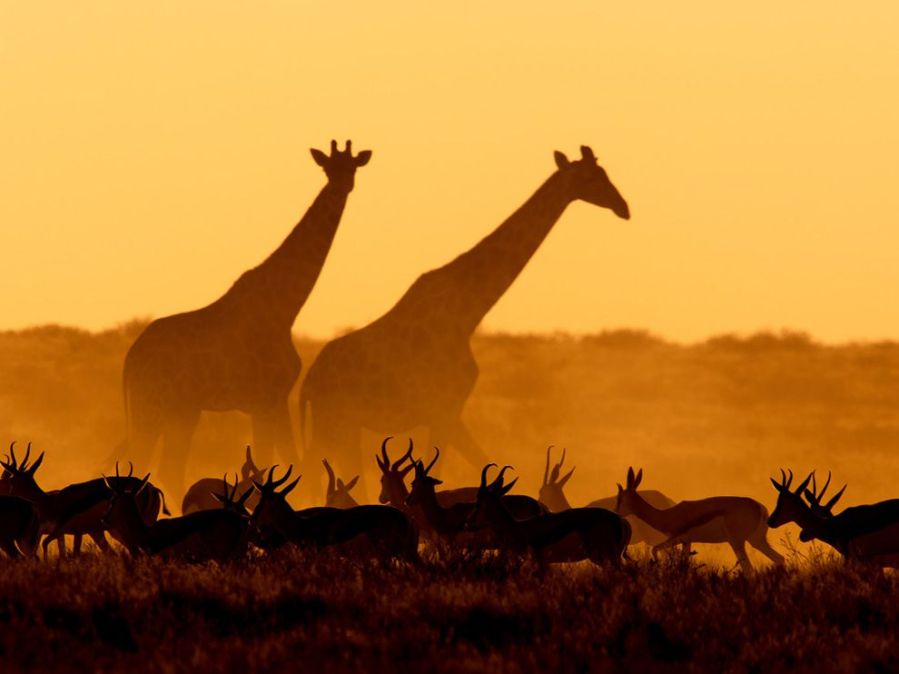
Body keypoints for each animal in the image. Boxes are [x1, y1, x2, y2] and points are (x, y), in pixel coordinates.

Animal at [120, 140, 370, 498]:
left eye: (351, 166)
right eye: (328, 167)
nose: (343, 185)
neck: (285, 309)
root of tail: (130, 359)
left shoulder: (277, 399)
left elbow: (294, 464)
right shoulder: (264, 400)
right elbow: (269, 465)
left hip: (181, 410)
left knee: (168, 467)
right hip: (152, 406)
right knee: (146, 462)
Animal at [299, 145, 629, 498]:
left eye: (604, 172)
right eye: (591, 176)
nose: (623, 208)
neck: (467, 314)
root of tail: (310, 381)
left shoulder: (450, 414)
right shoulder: (442, 411)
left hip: (340, 425)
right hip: (337, 422)